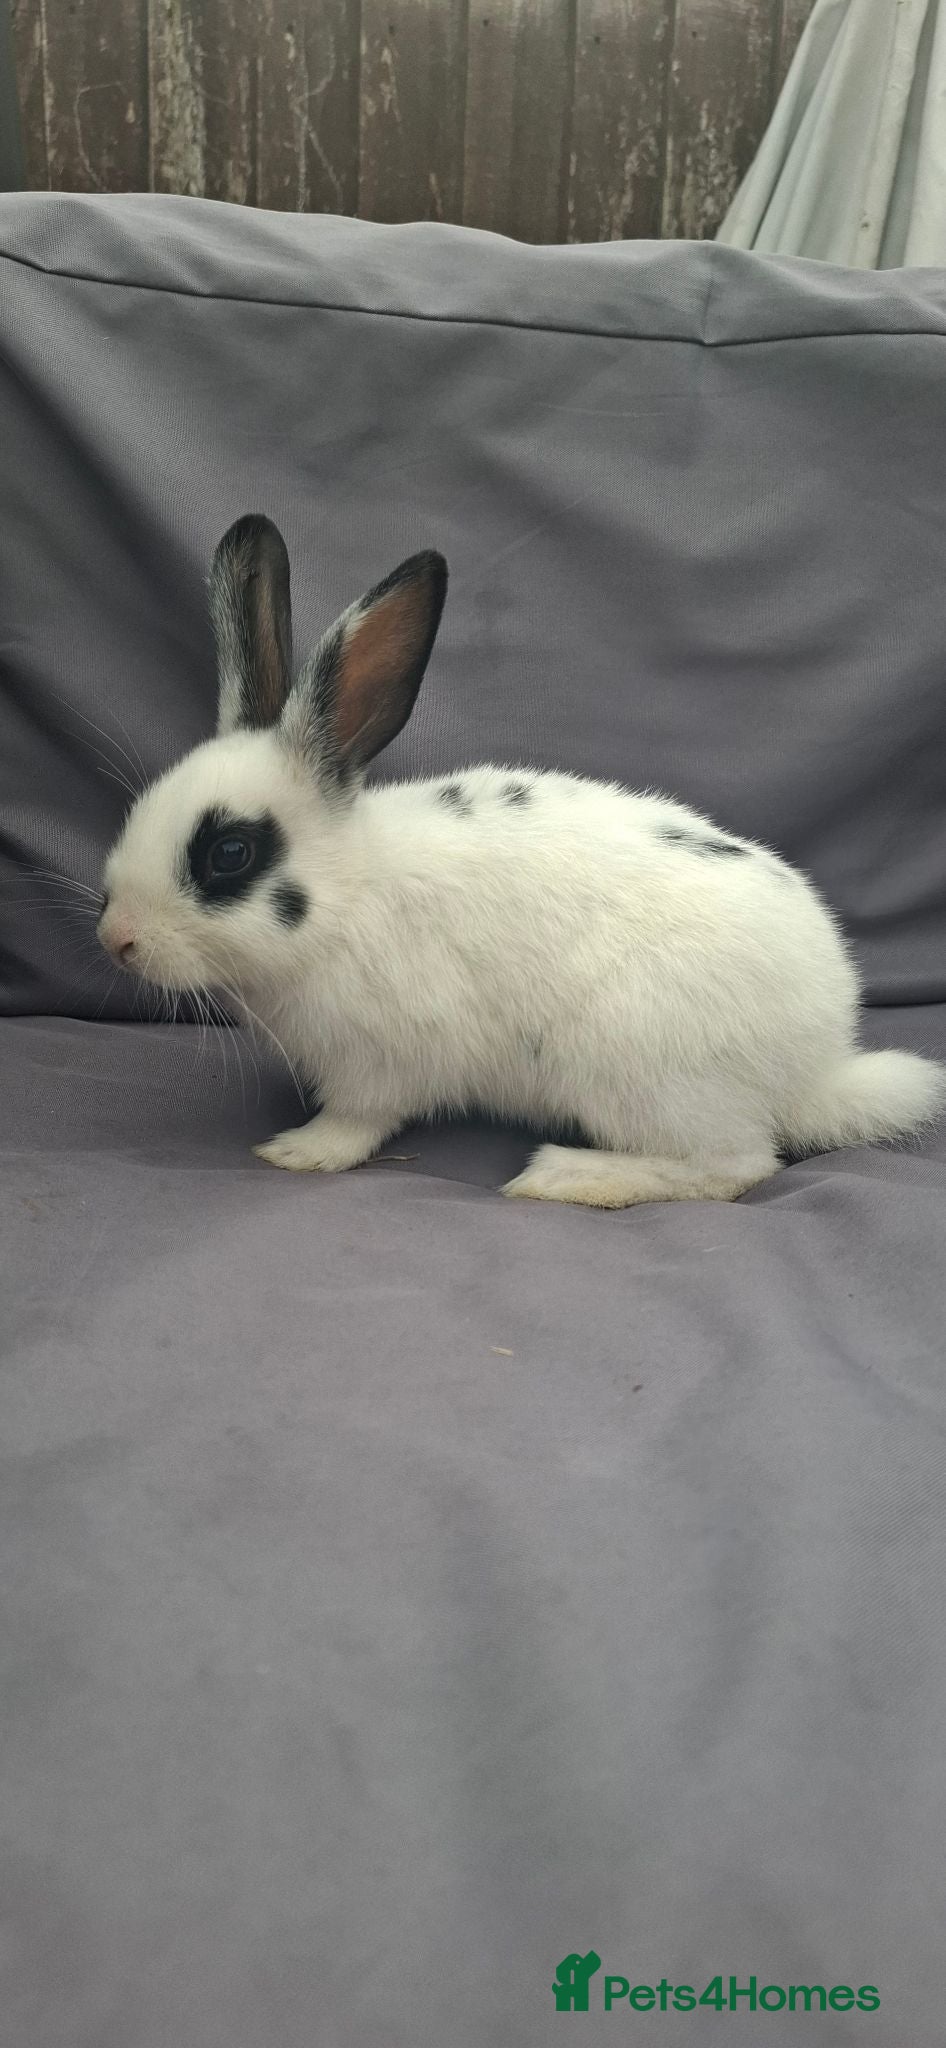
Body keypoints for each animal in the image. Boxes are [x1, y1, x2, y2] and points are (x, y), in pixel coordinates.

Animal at [97, 513, 946, 1208]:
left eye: (229, 853)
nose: (116, 940)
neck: (350, 893)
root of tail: (815, 1067)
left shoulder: (381, 1060)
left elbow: (358, 1120)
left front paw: (297, 1152)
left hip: (637, 1069)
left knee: (735, 1166)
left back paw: (568, 1175)